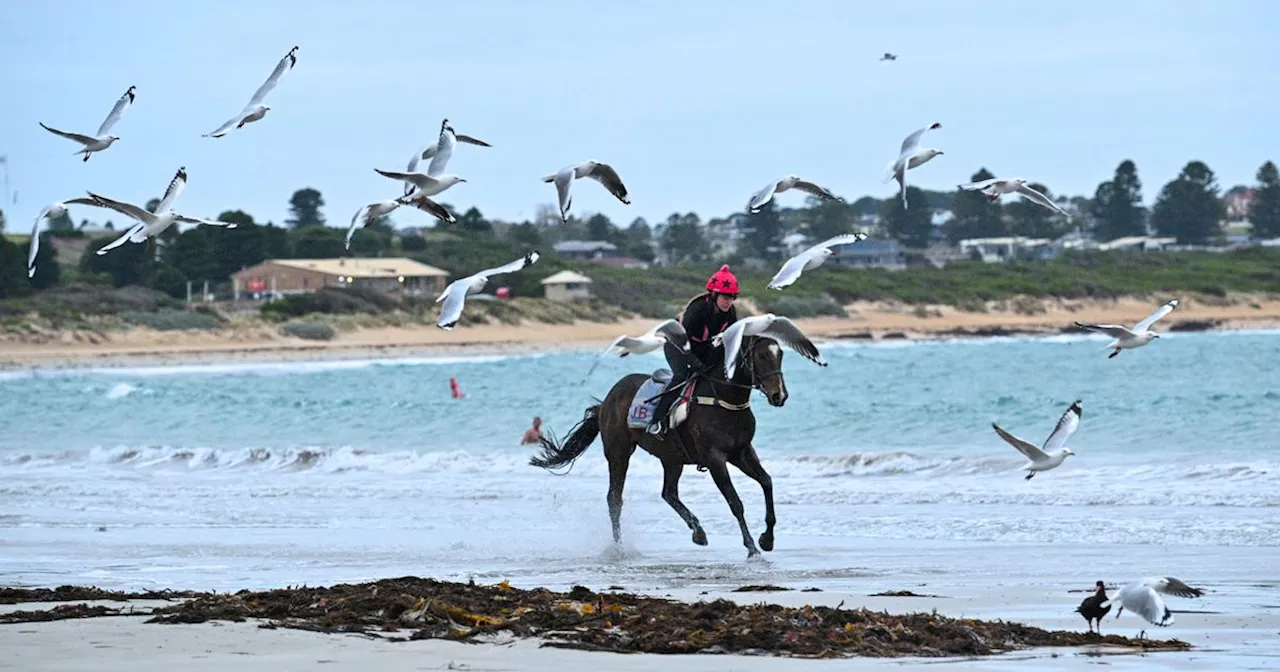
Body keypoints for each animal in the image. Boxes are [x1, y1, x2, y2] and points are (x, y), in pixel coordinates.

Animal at [527, 332, 788, 555]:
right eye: (761, 356)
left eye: (781, 355)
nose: (779, 395)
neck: (722, 401)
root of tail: (606, 401)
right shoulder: (715, 459)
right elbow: (735, 502)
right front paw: (752, 547)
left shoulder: (741, 452)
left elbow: (767, 482)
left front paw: (767, 539)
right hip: (618, 452)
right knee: (615, 499)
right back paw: (619, 547)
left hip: (672, 458)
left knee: (668, 493)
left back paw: (698, 532)